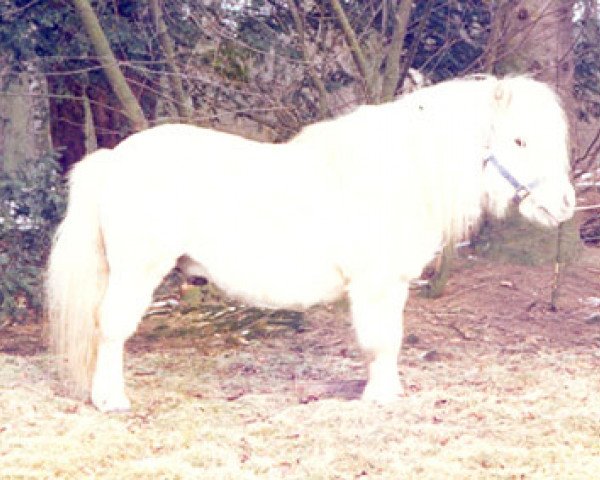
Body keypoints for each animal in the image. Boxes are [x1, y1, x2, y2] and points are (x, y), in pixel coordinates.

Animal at [45, 76, 572, 412]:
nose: (565, 203)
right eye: (520, 141)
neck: (398, 175)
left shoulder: (394, 285)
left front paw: (388, 392)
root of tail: (115, 159)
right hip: (137, 272)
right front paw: (378, 398)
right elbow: (378, 340)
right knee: (112, 328)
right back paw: (110, 400)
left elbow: (391, 338)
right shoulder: (374, 283)